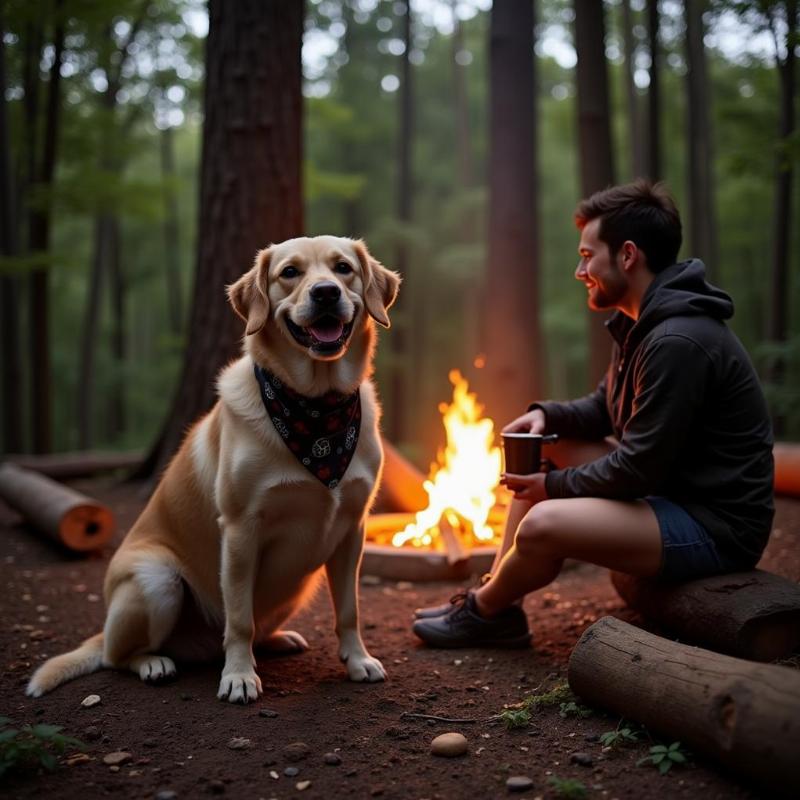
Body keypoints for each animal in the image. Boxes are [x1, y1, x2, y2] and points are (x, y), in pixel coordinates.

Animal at [28, 234, 400, 704]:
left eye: (343, 268)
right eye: (290, 273)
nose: (326, 293)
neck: (317, 408)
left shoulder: (352, 528)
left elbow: (349, 609)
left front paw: (357, 660)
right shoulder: (241, 530)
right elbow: (238, 619)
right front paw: (239, 676)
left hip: (298, 585)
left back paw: (276, 640)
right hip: (157, 581)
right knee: (119, 656)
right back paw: (153, 663)